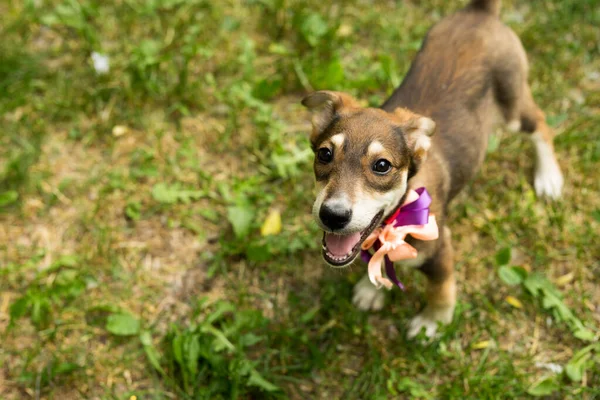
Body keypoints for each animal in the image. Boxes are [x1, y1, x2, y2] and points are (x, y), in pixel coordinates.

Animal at [302, 0, 564, 338]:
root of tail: (480, 11)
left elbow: (440, 289)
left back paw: (549, 178)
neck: (394, 220)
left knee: (541, 125)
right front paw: (373, 288)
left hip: (513, 102)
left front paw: (432, 323)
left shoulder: (440, 250)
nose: (332, 216)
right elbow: (380, 261)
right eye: (324, 154)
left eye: (382, 165)